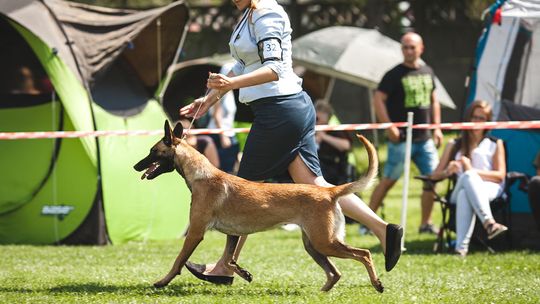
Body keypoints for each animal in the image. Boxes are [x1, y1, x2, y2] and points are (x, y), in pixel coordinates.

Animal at [135, 120, 384, 292]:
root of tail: (329, 191)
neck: (201, 175)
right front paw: (241, 272)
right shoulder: (233, 234)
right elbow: (229, 258)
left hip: (324, 242)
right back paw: (322, 292)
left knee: (364, 254)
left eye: (152, 151)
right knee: (335, 273)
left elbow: (178, 260)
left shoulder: (196, 232)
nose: (136, 166)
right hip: (314, 245)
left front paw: (162, 282)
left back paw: (377, 283)